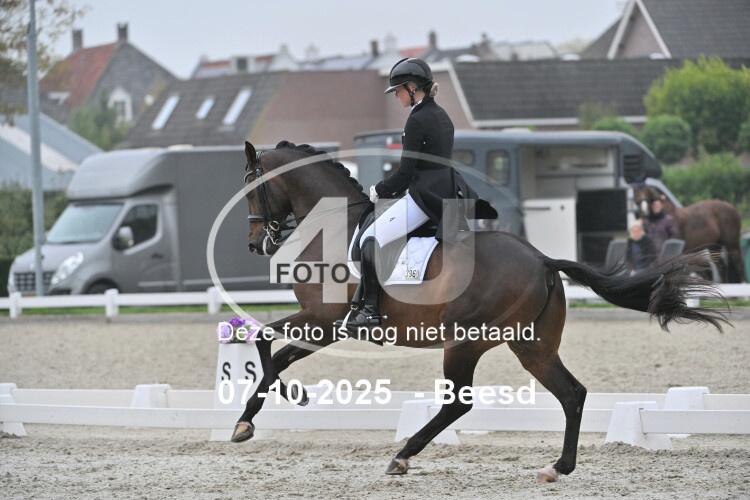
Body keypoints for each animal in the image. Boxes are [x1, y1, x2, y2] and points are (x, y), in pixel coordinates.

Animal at [231, 140, 728, 482]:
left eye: (251, 189)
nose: (255, 243)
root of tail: (542, 260)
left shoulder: (325, 319)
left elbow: (263, 341)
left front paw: (260, 414)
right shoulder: (331, 327)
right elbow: (277, 355)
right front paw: (263, 410)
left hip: (464, 341)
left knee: (459, 402)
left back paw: (402, 456)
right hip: (532, 347)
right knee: (571, 394)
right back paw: (558, 467)